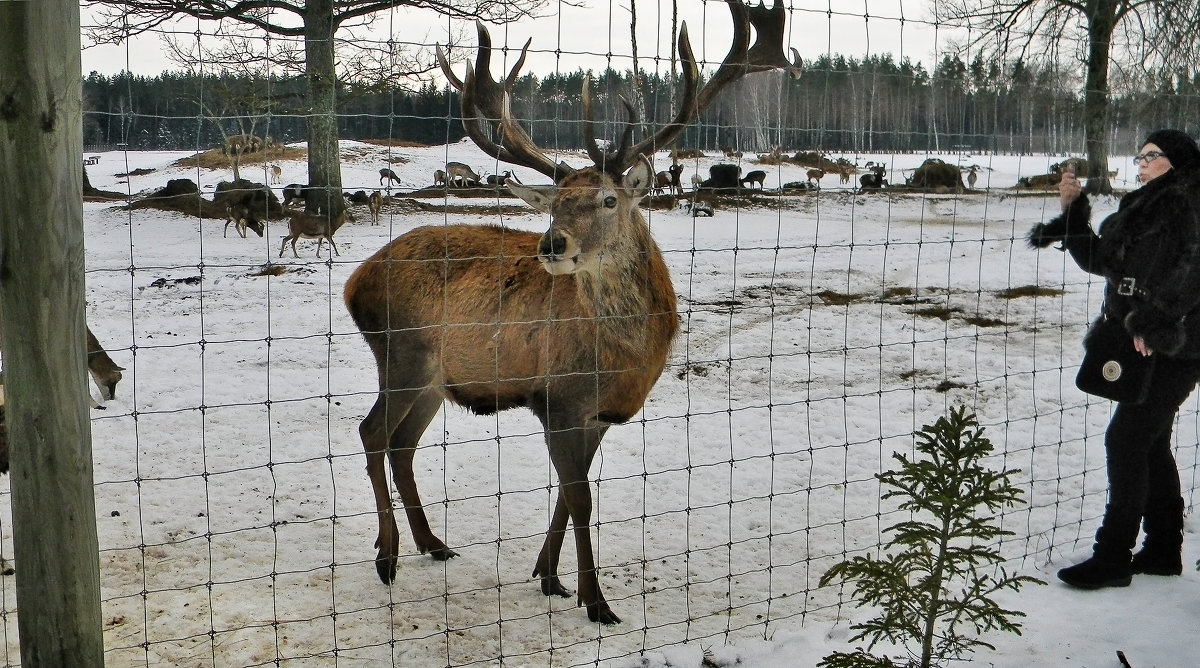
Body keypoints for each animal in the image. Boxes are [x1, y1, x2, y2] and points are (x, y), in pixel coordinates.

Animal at [345, 5, 806, 623]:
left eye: (609, 199)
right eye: (556, 203)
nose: (551, 244)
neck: (623, 358)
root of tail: (354, 282)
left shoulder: (601, 413)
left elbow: (570, 491)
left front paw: (548, 575)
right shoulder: (558, 399)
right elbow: (580, 496)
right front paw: (596, 600)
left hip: (435, 378)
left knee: (402, 444)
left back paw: (432, 543)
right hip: (401, 353)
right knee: (373, 432)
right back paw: (389, 554)